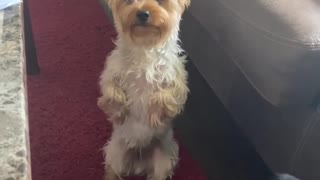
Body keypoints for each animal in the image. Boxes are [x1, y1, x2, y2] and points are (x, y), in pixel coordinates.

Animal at [98, 0, 190, 179]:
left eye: (160, 2)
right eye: (129, 2)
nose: (142, 13)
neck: (145, 44)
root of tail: (139, 164)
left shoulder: (178, 81)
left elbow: (165, 96)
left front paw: (154, 116)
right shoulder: (111, 73)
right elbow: (112, 92)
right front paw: (119, 112)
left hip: (164, 159)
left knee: (158, 174)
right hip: (116, 152)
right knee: (113, 171)